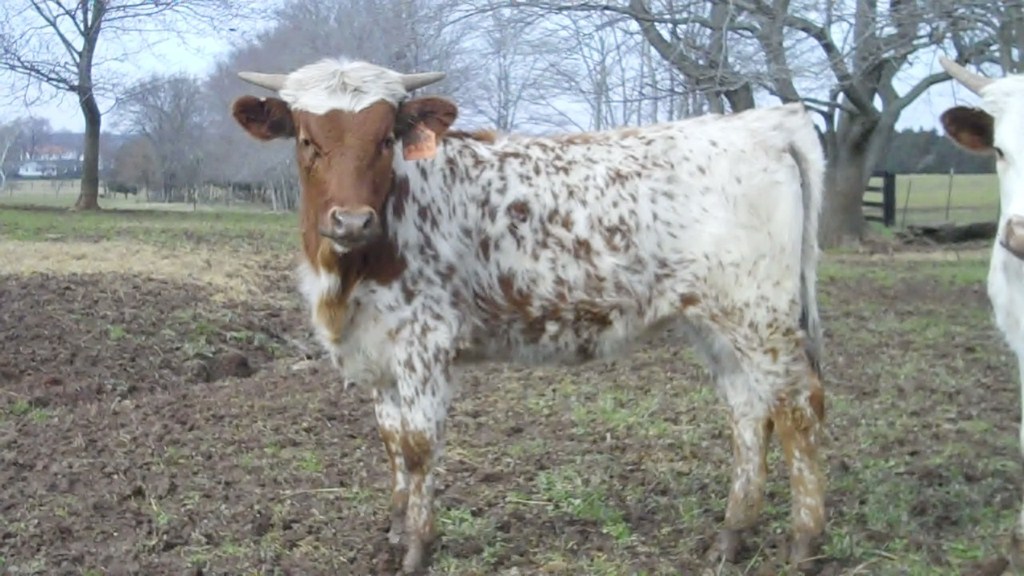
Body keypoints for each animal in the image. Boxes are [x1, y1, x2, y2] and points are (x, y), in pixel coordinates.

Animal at [230, 56, 828, 574]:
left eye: (384, 139)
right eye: (308, 140)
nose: (352, 220)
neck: (349, 276)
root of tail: (766, 123)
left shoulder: (425, 343)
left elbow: (419, 448)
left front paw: (418, 547)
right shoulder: (382, 351)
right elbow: (392, 441)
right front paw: (397, 530)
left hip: (761, 315)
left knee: (798, 411)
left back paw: (804, 542)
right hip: (713, 321)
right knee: (748, 413)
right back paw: (730, 537)